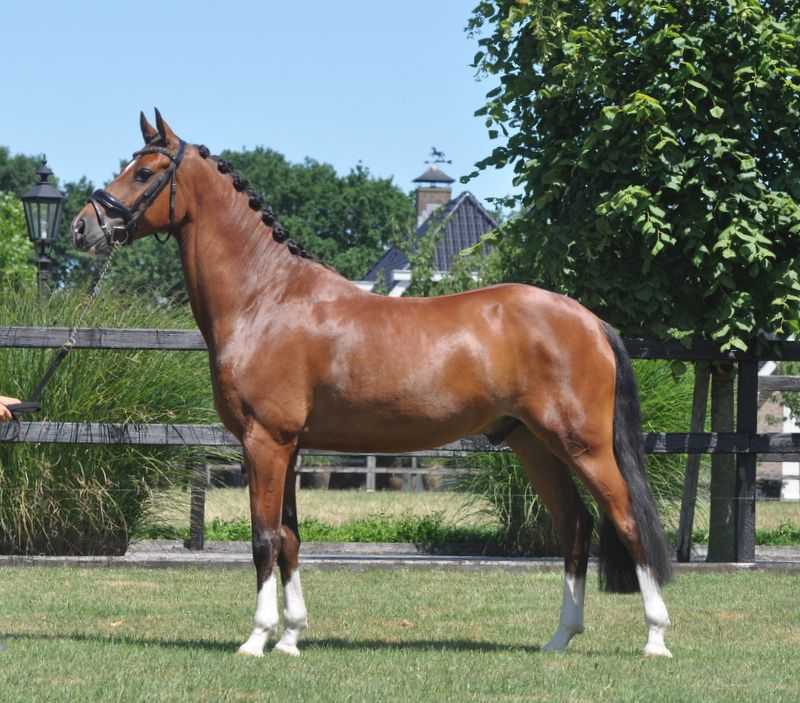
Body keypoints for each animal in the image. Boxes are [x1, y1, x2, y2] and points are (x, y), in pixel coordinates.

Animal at [71, 110, 673, 658]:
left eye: (144, 172)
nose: (83, 226)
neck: (265, 298)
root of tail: (589, 320)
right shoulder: (291, 447)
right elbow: (290, 539)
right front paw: (291, 638)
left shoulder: (265, 441)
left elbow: (264, 540)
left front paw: (258, 638)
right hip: (533, 443)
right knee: (574, 526)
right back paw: (559, 638)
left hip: (583, 445)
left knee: (628, 522)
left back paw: (655, 640)